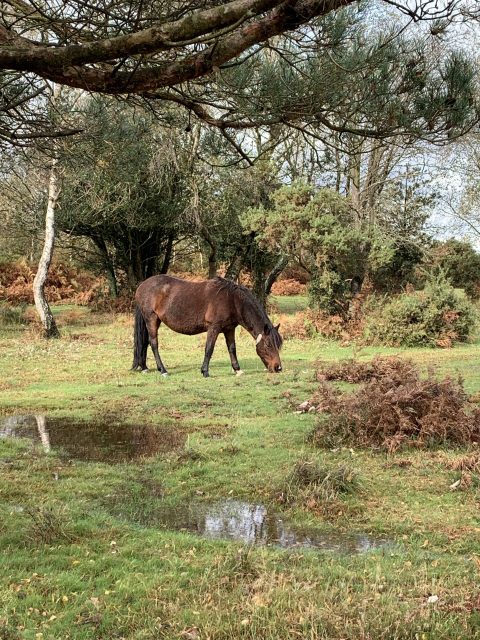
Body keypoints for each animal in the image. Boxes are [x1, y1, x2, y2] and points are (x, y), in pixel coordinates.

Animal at [132, 275, 283, 377]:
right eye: (268, 345)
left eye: (278, 345)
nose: (278, 368)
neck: (232, 300)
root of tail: (141, 286)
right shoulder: (214, 328)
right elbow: (209, 349)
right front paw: (205, 371)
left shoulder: (229, 329)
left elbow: (232, 348)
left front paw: (237, 369)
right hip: (151, 319)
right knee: (154, 343)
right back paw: (163, 370)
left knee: (145, 343)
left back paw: (144, 367)